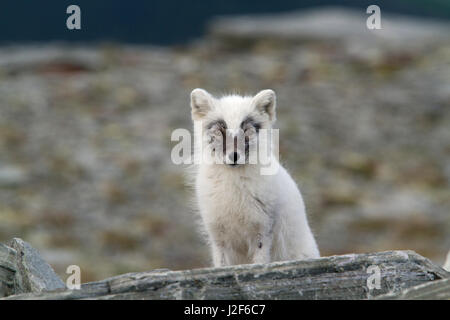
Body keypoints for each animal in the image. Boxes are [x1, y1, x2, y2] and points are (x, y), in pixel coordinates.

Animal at [190, 88, 320, 268]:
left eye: (246, 131)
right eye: (220, 131)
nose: (234, 156)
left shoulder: (262, 230)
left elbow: (260, 260)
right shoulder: (218, 235)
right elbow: (221, 263)